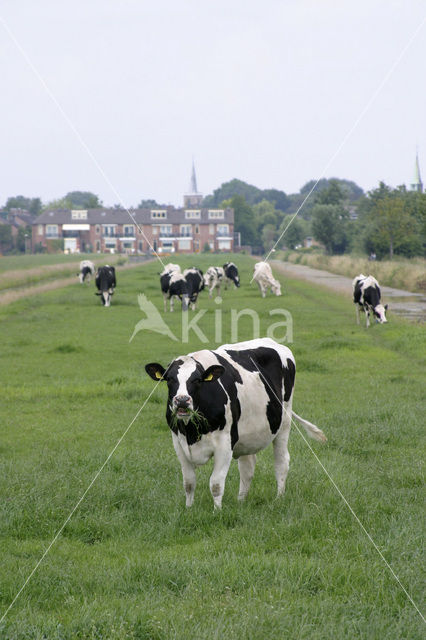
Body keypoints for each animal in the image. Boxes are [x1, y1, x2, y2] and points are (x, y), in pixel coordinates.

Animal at [146, 338, 326, 508]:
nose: (182, 400)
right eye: (169, 379)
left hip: (284, 422)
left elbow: (216, 484)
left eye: (197, 380)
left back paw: (279, 498)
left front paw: (217, 511)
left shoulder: (225, 444)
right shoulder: (178, 443)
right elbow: (189, 483)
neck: (192, 432)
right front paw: (189, 509)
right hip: (247, 434)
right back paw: (241, 501)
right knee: (247, 467)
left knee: (281, 462)